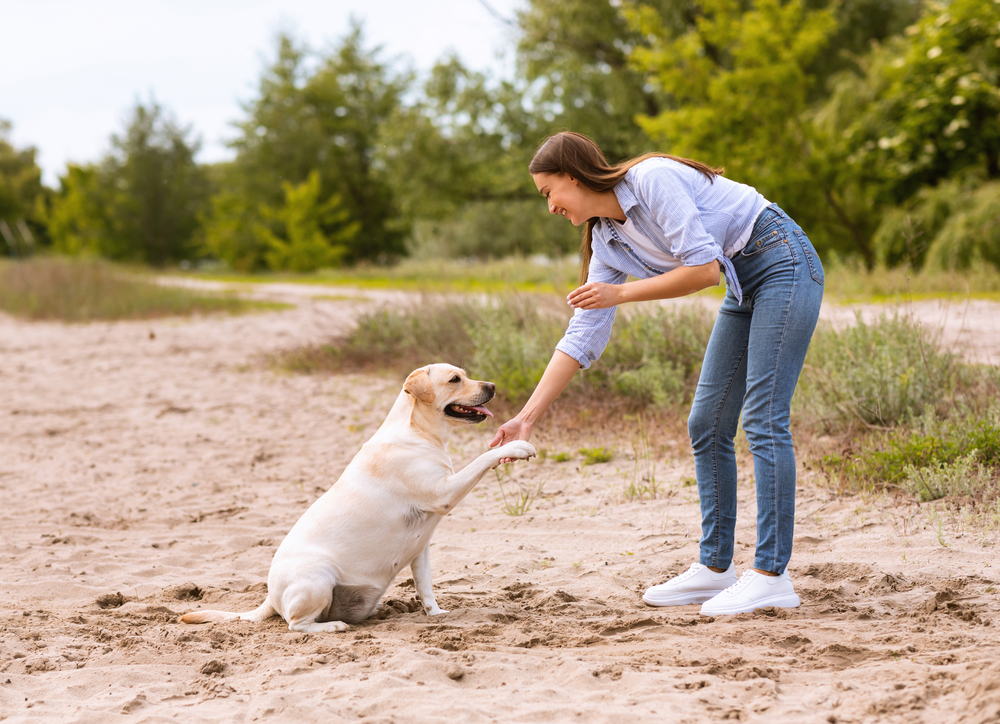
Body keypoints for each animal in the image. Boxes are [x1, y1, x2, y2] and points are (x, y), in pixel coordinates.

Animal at [180, 364, 540, 632]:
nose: (492, 385)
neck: (419, 433)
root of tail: (270, 596)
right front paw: (516, 446)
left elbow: (425, 587)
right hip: (318, 578)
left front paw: (436, 615)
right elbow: (482, 458)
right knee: (296, 624)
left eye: (466, 374)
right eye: (455, 380)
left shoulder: (421, 548)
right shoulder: (444, 492)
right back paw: (333, 626)